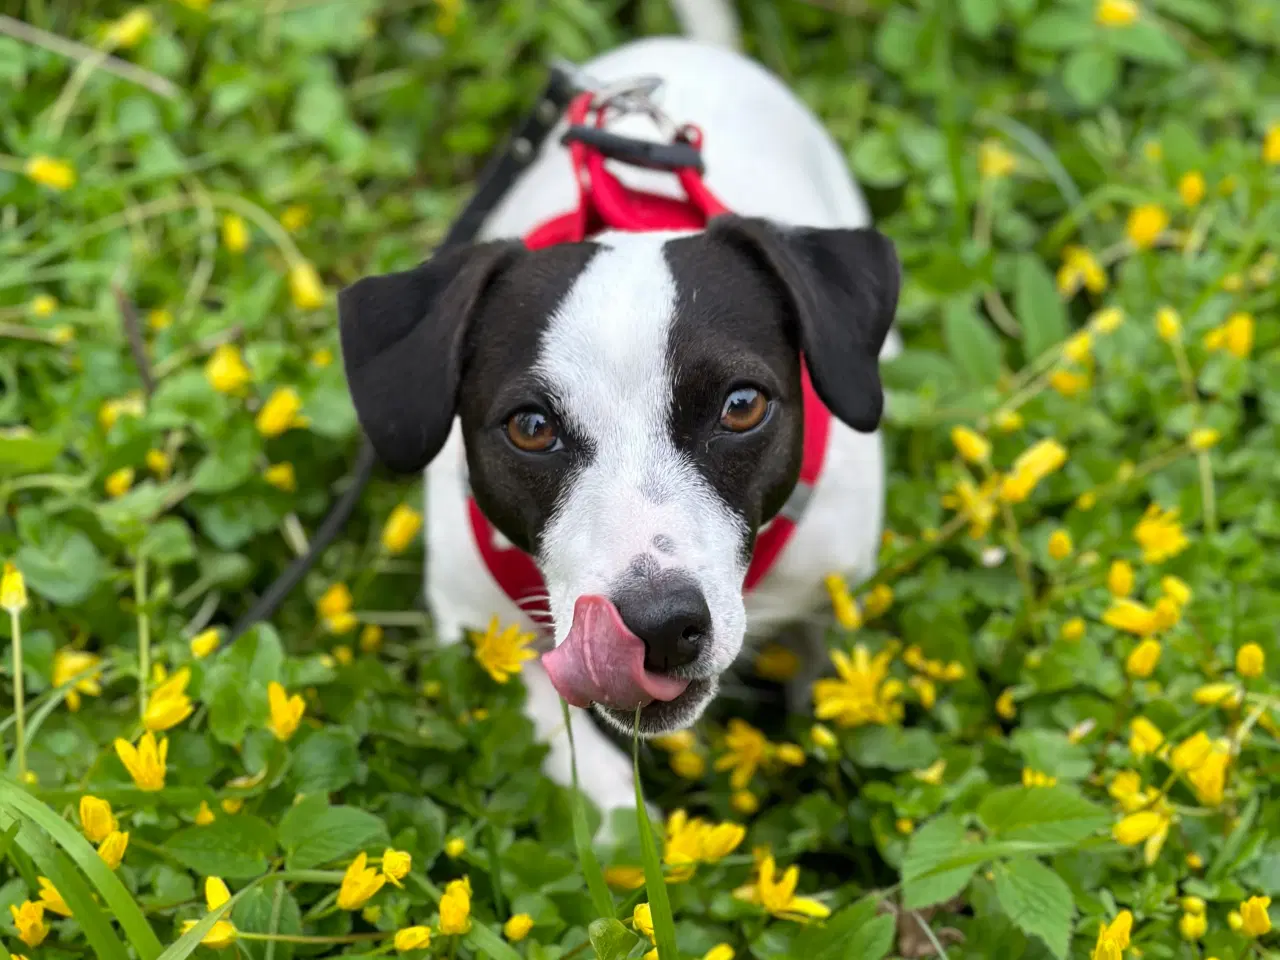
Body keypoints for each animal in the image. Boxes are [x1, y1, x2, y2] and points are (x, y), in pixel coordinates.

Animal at [337, 9, 901, 829]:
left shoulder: (833, 581)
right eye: (531, 427)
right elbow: (574, 765)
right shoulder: (478, 629)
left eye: (741, 406)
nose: (660, 623)